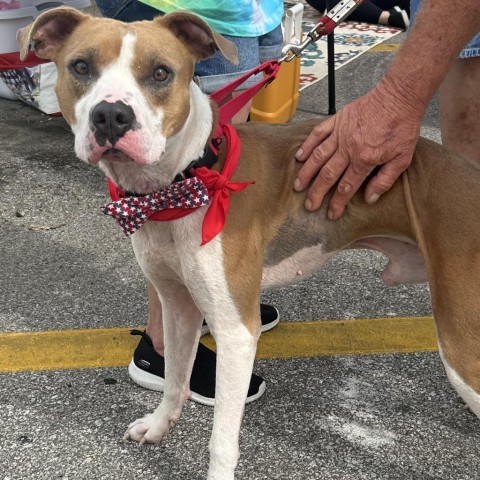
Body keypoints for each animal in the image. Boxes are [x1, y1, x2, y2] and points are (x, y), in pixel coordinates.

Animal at [17, 7, 480, 480]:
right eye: (80, 67)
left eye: (161, 73)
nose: (111, 115)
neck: (183, 183)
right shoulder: (178, 305)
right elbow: (175, 380)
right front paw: (160, 426)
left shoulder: (236, 335)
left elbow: (220, 440)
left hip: (462, 343)